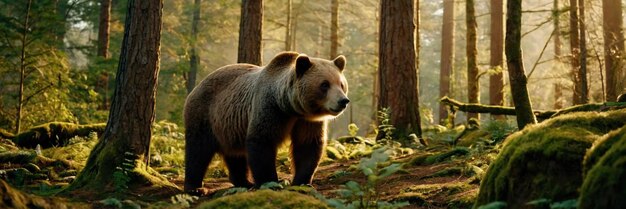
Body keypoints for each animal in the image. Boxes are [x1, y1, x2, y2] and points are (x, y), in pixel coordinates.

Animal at [185, 51, 348, 193]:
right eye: (325, 84)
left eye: (341, 84)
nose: (343, 101)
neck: (290, 108)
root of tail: (197, 86)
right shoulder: (269, 108)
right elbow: (262, 141)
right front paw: (271, 182)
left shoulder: (306, 120)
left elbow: (307, 145)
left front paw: (302, 182)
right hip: (205, 114)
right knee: (198, 150)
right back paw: (195, 187)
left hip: (230, 127)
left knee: (235, 155)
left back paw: (244, 182)